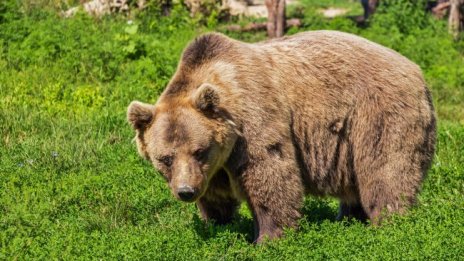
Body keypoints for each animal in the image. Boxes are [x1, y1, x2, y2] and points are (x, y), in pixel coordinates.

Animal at [126, 30, 436, 242]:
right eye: (165, 158)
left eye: (199, 150)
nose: (185, 191)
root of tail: (418, 71)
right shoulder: (214, 166)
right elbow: (215, 195)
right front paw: (217, 223)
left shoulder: (253, 121)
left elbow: (270, 174)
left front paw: (268, 237)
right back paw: (349, 218)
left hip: (377, 114)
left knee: (385, 171)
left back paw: (389, 223)